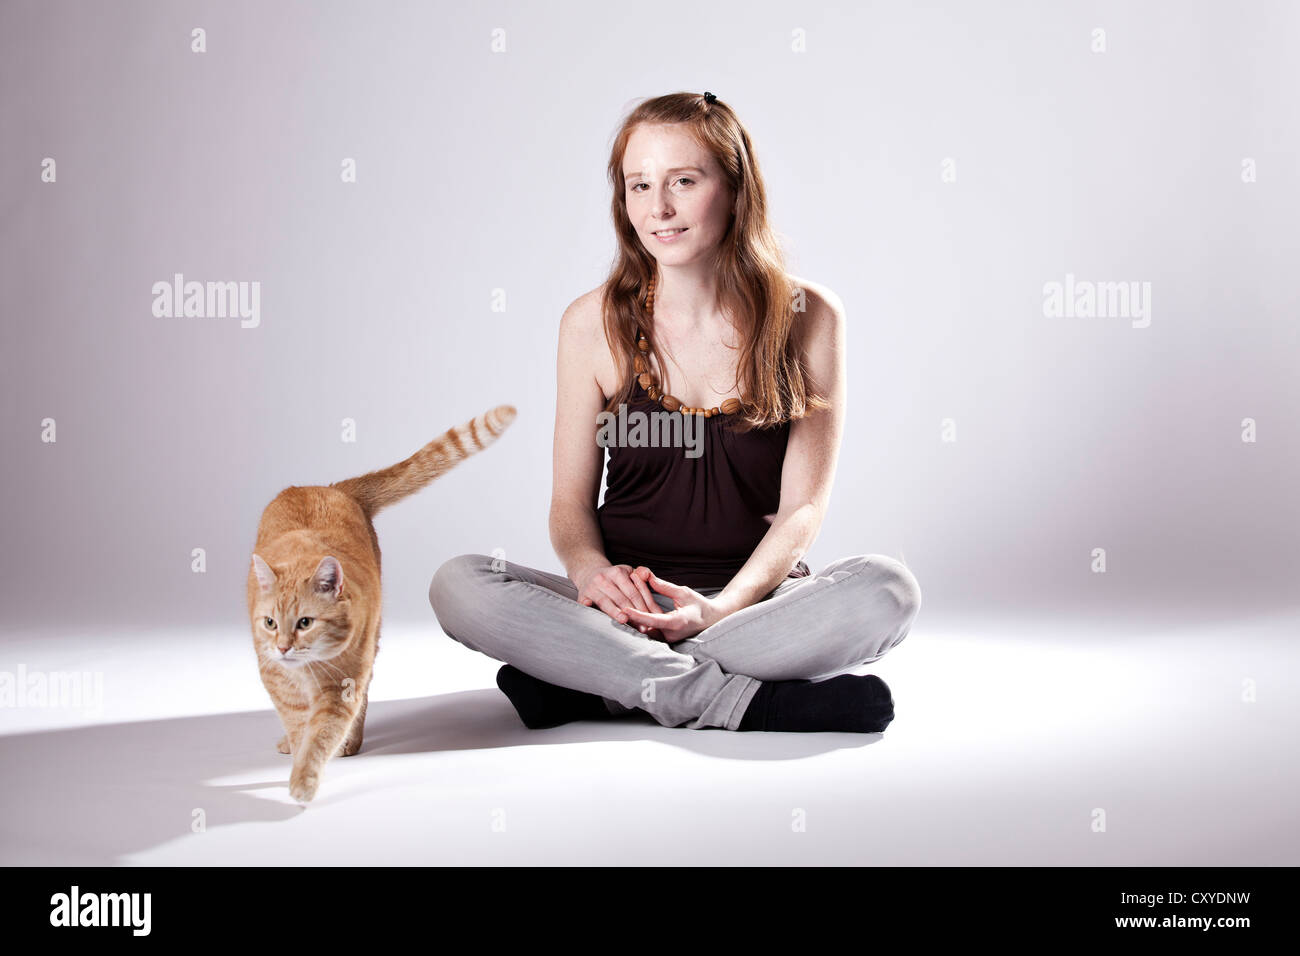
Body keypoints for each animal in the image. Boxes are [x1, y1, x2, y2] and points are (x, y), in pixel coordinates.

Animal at [245, 408, 514, 806]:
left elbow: (321, 734)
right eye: (270, 623)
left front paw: (304, 779)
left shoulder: (343, 683)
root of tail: (331, 487)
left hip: (371, 650)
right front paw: (296, 755)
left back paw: (349, 744)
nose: (282, 648)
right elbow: (298, 725)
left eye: (305, 622)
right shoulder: (278, 681)